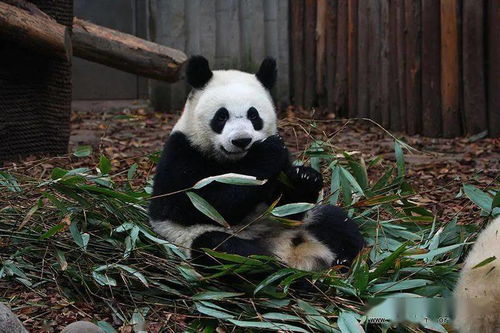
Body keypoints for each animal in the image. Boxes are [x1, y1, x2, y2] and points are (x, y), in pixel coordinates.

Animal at [148, 55, 364, 272]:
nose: (241, 140)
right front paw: (268, 152)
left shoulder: (281, 180)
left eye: (253, 115)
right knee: (224, 250)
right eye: (221, 116)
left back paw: (346, 262)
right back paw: (278, 271)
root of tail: (290, 253)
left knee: (335, 221)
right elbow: (194, 203)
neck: (237, 161)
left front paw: (305, 177)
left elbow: (288, 207)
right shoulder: (181, 153)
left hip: (306, 223)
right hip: (197, 239)